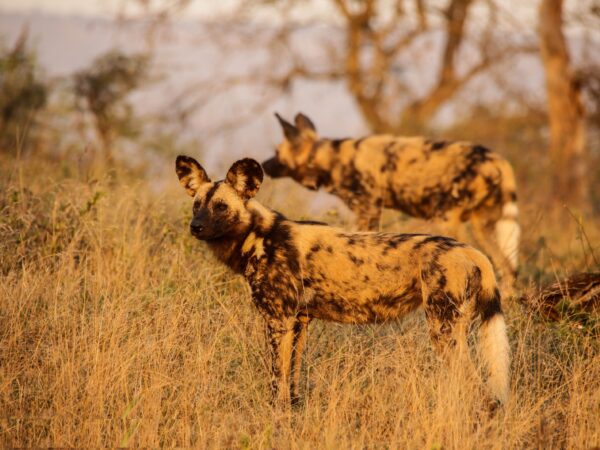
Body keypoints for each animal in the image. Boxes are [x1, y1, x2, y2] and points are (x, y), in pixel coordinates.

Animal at [175, 156, 510, 408]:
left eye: (221, 206)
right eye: (196, 205)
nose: (196, 226)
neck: (258, 236)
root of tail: (469, 249)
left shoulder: (277, 320)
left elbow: (276, 376)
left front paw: (276, 413)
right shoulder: (299, 321)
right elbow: (292, 375)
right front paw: (292, 410)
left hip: (444, 329)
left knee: (477, 388)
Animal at [262, 112, 520, 292]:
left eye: (277, 152)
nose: (263, 165)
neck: (330, 159)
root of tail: (497, 160)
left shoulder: (367, 209)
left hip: (447, 220)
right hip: (483, 227)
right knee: (507, 268)